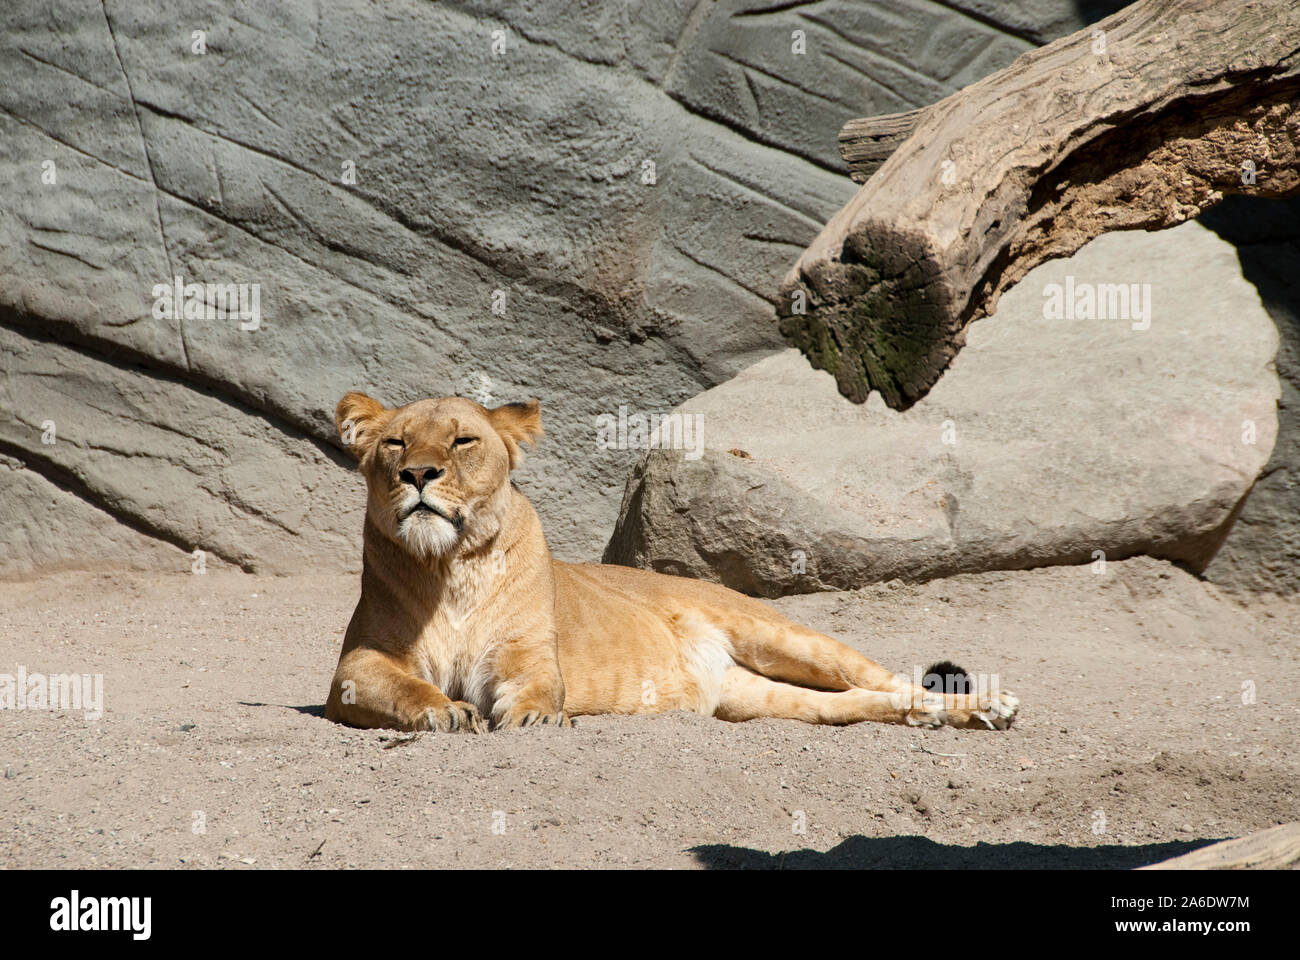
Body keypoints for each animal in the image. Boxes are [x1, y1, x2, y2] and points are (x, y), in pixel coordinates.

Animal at [324, 392, 1019, 733]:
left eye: (463, 440)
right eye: (396, 443)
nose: (418, 473)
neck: (452, 568)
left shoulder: (529, 654)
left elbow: (539, 687)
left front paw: (531, 716)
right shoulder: (355, 669)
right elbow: (401, 684)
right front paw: (442, 709)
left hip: (781, 635)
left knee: (892, 680)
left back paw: (986, 705)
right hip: (756, 699)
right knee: (856, 703)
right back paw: (945, 717)